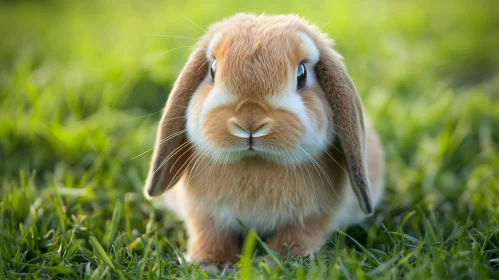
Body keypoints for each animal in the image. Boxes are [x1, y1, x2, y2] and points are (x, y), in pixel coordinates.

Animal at [143, 13, 384, 274]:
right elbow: (209, 234)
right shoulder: (204, 213)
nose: (250, 122)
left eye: (301, 74)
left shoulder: (314, 216)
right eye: (213, 69)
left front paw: (286, 261)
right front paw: (210, 263)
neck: (256, 162)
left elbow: (298, 236)